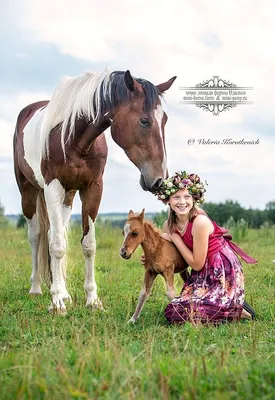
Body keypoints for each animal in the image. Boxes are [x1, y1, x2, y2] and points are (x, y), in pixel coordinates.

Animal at [12, 69, 177, 314]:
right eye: (144, 120)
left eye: (164, 120)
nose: (159, 180)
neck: (74, 138)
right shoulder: (53, 187)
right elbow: (56, 246)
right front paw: (57, 303)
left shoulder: (93, 189)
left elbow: (88, 245)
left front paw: (92, 300)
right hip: (28, 191)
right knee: (37, 236)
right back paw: (37, 289)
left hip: (68, 197)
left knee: (53, 234)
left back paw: (64, 292)